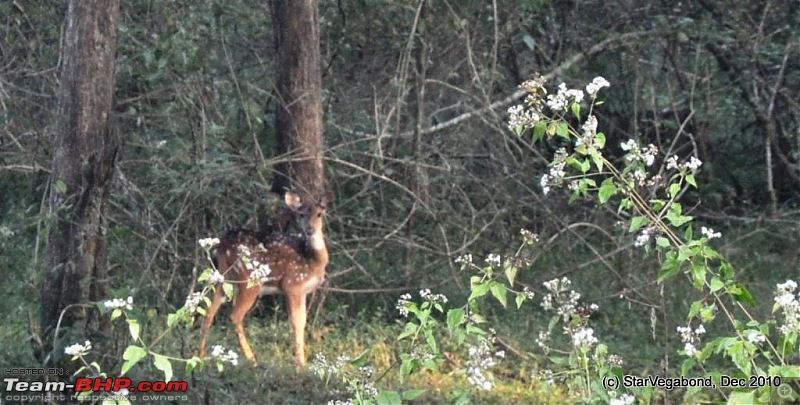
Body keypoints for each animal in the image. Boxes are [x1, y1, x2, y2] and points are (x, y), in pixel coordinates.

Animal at [202, 190, 336, 366]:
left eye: (319, 214)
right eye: (301, 214)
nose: (310, 230)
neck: (313, 260)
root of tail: (221, 246)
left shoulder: (297, 291)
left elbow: (300, 321)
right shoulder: (293, 285)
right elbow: (298, 322)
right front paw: (300, 364)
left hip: (223, 279)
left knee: (208, 312)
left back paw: (199, 356)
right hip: (249, 281)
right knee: (234, 316)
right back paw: (252, 360)